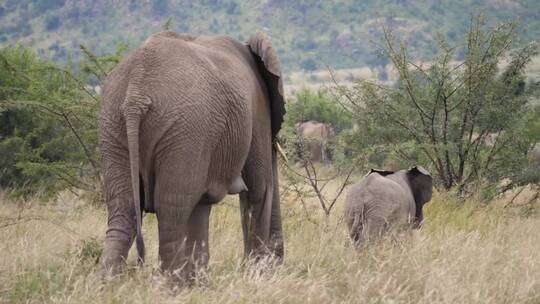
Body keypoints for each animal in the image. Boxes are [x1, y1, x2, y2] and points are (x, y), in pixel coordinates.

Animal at [101, 31, 286, 280]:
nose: (278, 264)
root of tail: (136, 94)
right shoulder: (257, 109)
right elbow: (260, 189)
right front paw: (258, 277)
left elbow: (201, 205)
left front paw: (199, 282)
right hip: (185, 128)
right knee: (171, 212)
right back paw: (170, 285)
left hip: (114, 123)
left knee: (123, 211)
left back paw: (108, 283)